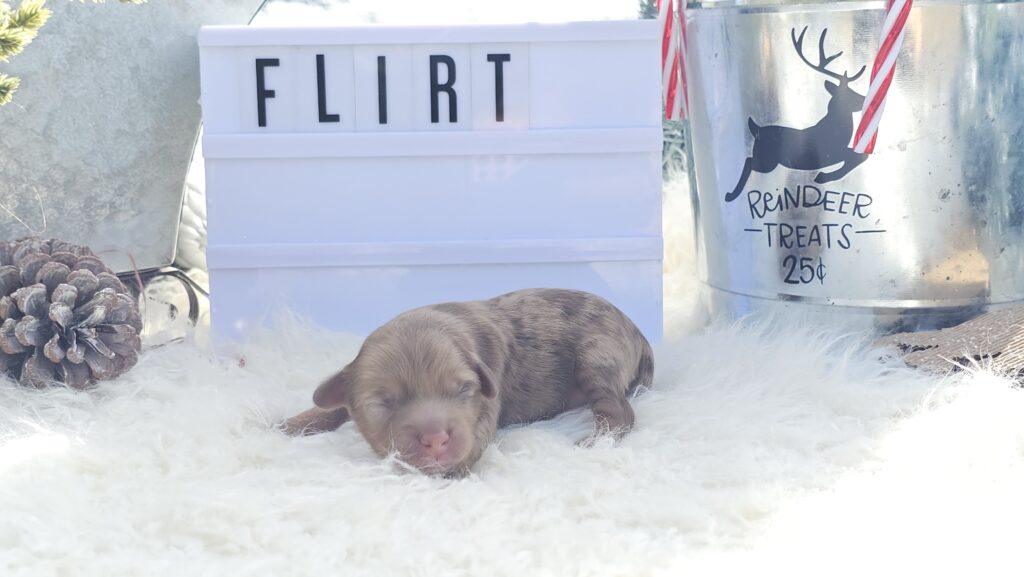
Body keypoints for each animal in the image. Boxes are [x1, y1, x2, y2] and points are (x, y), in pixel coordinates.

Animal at [278, 289, 655, 479]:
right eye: (382, 404)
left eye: (462, 391)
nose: (435, 440)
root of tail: (638, 331)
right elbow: (335, 405)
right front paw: (293, 423)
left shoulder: (488, 397)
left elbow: (478, 433)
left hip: (596, 359)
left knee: (621, 412)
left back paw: (597, 440)